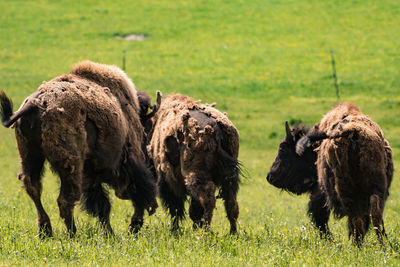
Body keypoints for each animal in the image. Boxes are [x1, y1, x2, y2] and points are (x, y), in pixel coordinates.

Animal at [1, 61, 158, 239]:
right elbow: (135, 196)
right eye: (146, 125)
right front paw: (130, 227)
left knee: (34, 188)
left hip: (30, 156)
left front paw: (111, 232)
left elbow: (102, 205)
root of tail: (34, 104)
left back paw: (46, 231)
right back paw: (72, 234)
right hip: (70, 164)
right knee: (65, 199)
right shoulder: (130, 162)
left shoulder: (91, 176)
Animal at [147, 94, 241, 234]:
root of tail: (216, 129)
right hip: (229, 178)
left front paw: (175, 230)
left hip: (195, 175)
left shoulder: (168, 182)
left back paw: (205, 232)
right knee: (231, 203)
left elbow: (176, 209)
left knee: (208, 198)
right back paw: (232, 233)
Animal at [268, 103, 392, 247]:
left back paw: (356, 246)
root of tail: (352, 133)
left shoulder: (320, 192)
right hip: (377, 188)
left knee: (356, 219)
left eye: (282, 149)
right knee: (375, 214)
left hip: (345, 190)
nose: (270, 177)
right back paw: (382, 245)